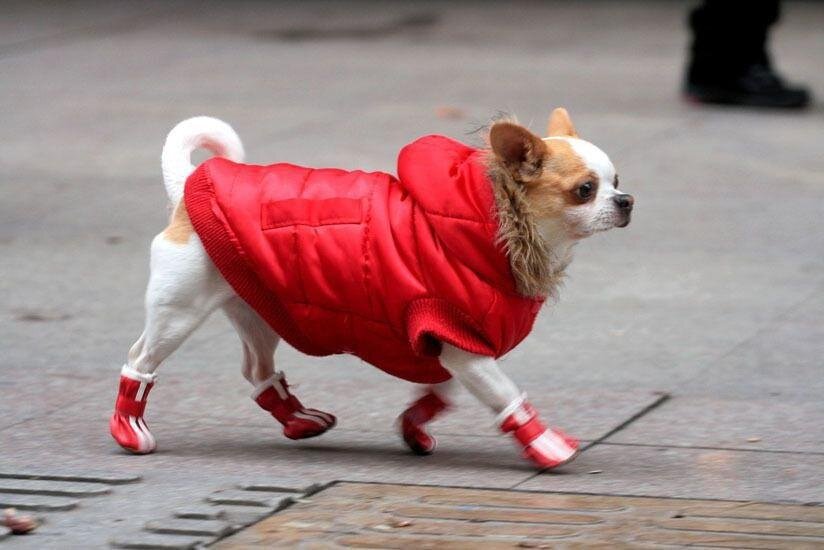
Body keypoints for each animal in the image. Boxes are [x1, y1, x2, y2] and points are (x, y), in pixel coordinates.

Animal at [109, 109, 636, 470]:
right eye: (585, 190)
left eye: (616, 181)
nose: (626, 200)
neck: (497, 222)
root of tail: (185, 190)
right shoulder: (460, 341)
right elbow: (505, 396)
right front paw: (545, 444)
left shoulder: (447, 349)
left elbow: (440, 395)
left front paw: (413, 429)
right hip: (179, 312)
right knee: (140, 361)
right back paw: (130, 429)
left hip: (257, 308)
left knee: (257, 370)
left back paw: (299, 419)